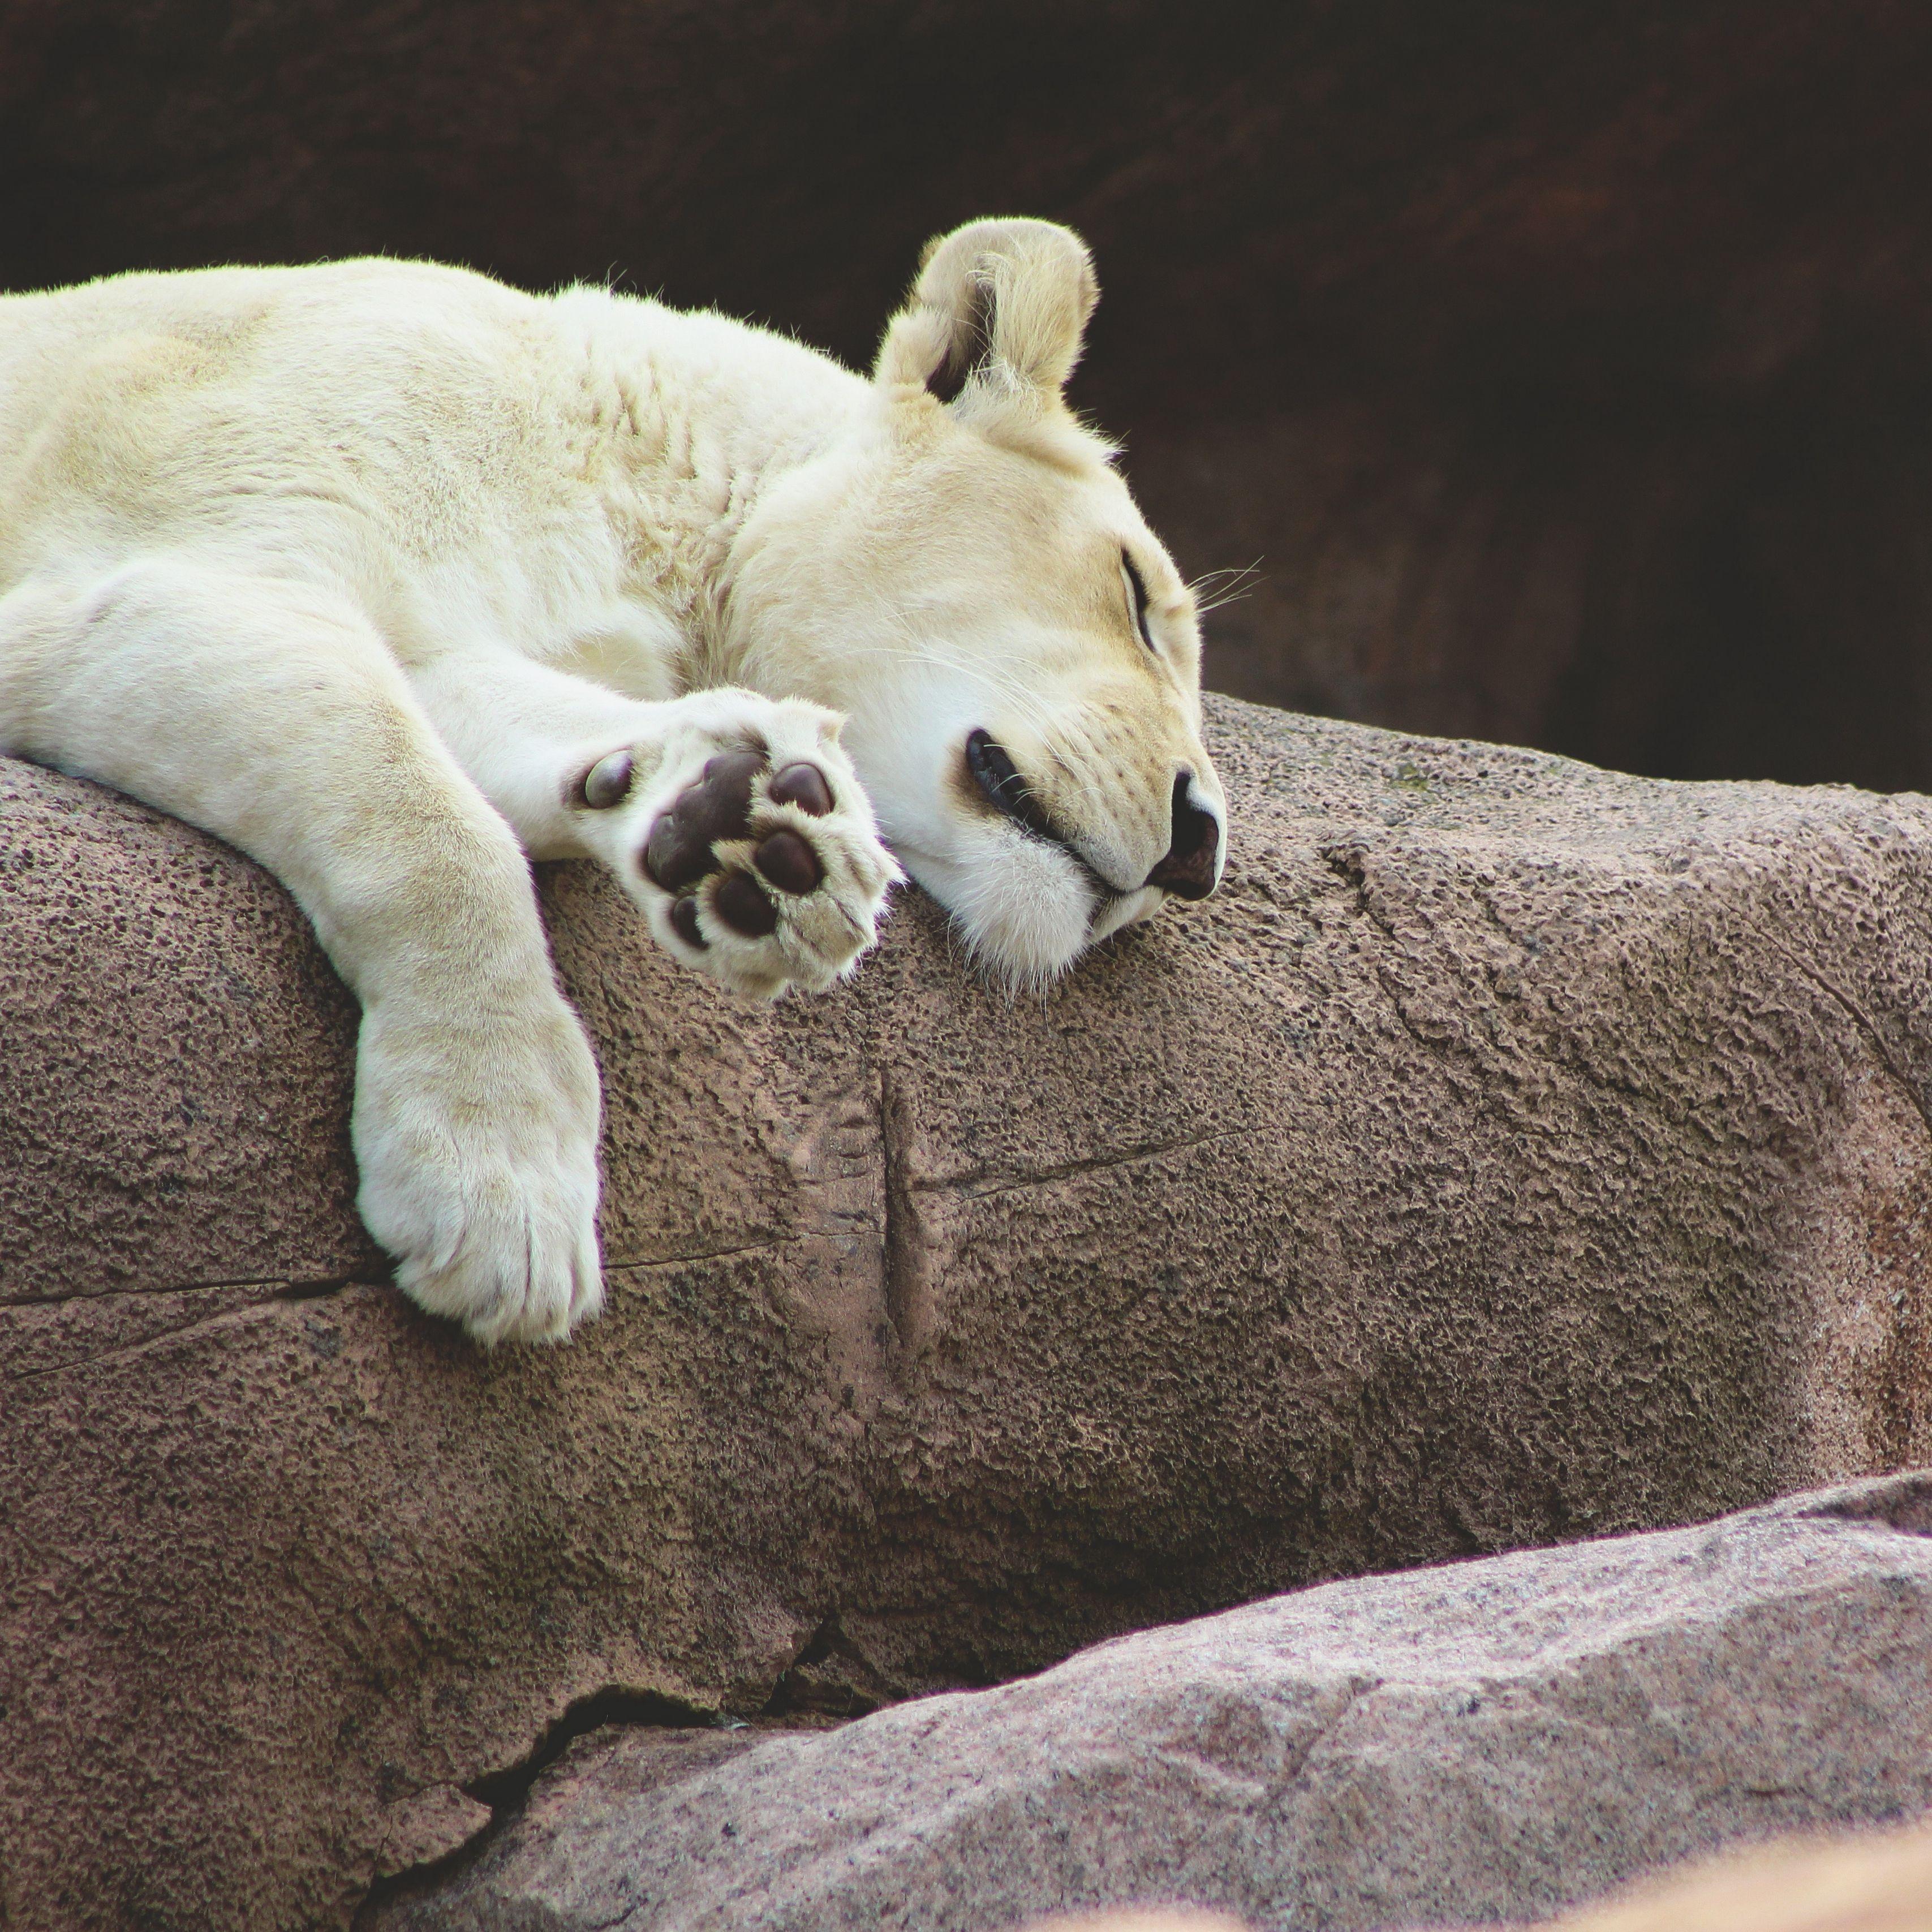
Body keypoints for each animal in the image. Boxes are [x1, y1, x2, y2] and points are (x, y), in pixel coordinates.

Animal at [0, 218, 1225, 1347]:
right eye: (1134, 593)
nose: (1202, 843)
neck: (644, 498)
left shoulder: (465, 638)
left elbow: (516, 735)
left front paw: (750, 833)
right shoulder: (173, 552)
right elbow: (428, 827)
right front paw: (498, 1192)